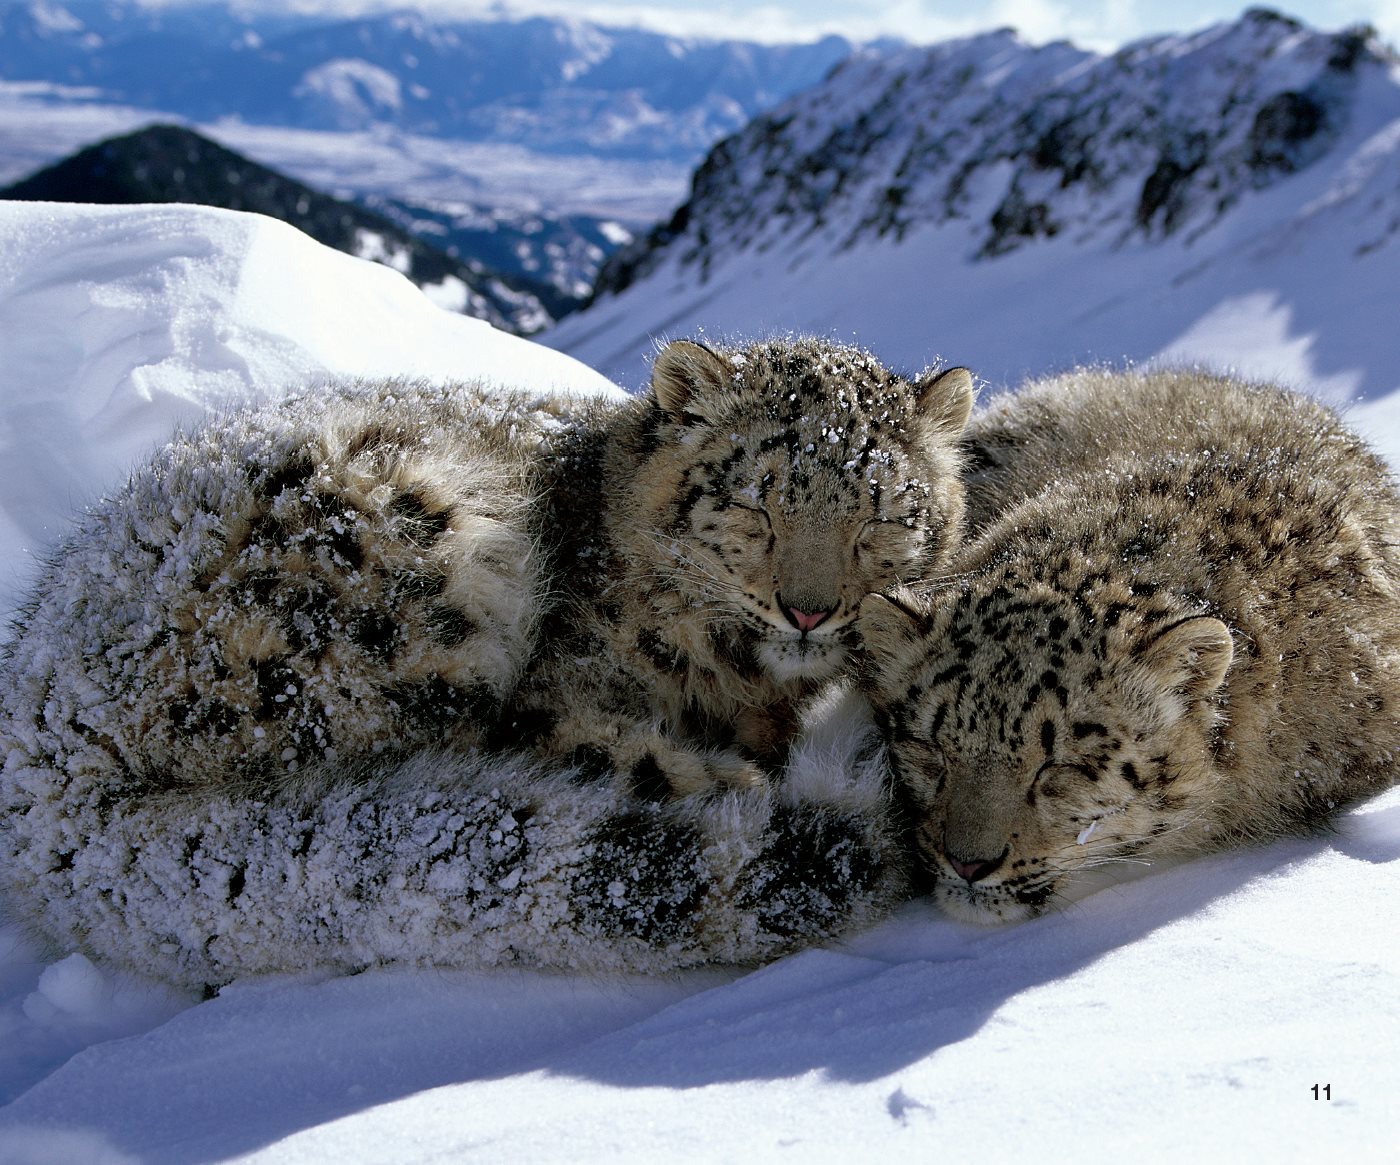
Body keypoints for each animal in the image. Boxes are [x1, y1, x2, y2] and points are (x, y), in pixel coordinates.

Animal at [0, 334, 974, 985]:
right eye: (753, 502)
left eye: (885, 513)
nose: (809, 609)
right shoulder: (566, 686)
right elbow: (585, 732)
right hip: (399, 571)